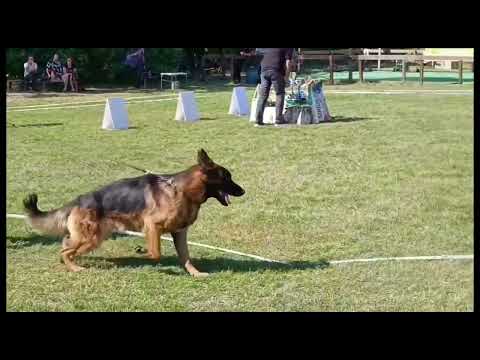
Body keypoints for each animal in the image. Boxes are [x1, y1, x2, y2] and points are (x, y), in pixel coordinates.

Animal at [23, 149, 246, 276]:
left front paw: (195, 273)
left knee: (66, 245)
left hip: (93, 237)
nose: (243, 191)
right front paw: (141, 252)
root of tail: (77, 201)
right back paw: (75, 268)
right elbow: (155, 253)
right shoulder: (152, 225)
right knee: (65, 251)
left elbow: (186, 257)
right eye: (227, 177)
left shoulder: (179, 233)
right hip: (90, 237)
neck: (182, 189)